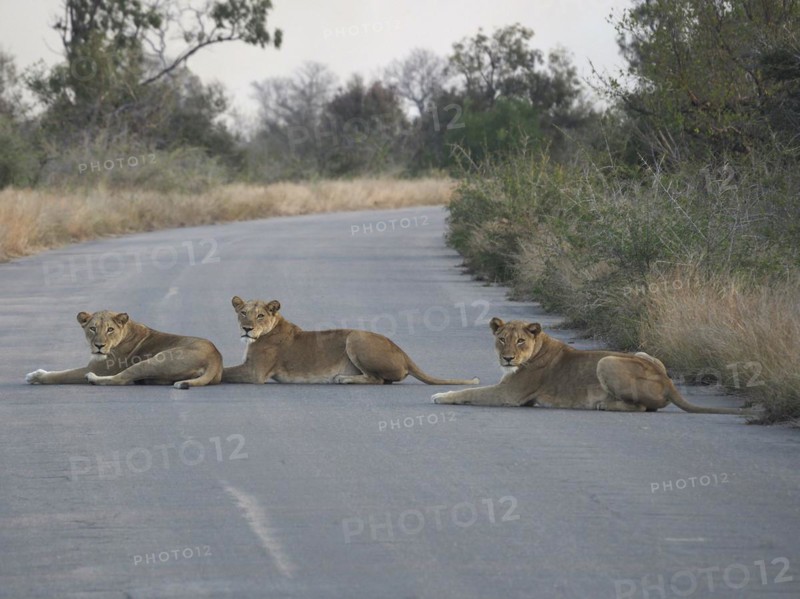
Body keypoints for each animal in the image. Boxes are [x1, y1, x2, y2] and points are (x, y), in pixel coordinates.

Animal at [25, 310, 223, 389]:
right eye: (93, 328)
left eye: (110, 329)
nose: (99, 346)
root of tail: (215, 356)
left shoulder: (99, 367)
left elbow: (62, 374)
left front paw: (36, 376)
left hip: (154, 361)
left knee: (121, 379)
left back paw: (92, 379)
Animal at [221, 296, 480, 385]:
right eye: (243, 313)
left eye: (260, 315)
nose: (246, 328)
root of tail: (403, 352)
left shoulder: (255, 372)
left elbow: (225, 371)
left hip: (355, 337)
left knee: (377, 380)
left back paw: (342, 378)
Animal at [432, 318, 752, 415]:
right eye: (501, 339)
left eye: (520, 341)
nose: (508, 358)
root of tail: (668, 380)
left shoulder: (509, 395)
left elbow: (469, 392)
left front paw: (439, 396)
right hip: (642, 352)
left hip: (607, 361)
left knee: (641, 407)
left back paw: (603, 404)